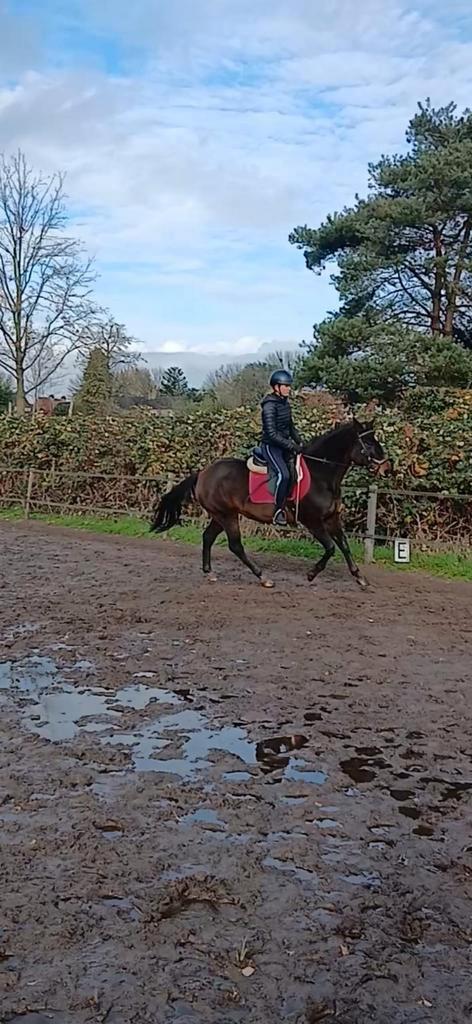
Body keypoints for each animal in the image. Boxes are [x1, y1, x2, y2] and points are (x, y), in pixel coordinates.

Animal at [150, 418, 391, 589]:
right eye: (368, 442)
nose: (386, 467)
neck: (321, 473)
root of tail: (203, 473)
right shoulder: (312, 521)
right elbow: (331, 548)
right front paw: (311, 574)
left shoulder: (331, 518)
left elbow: (344, 545)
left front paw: (360, 578)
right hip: (227, 515)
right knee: (235, 545)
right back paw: (263, 577)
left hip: (221, 516)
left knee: (208, 537)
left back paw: (210, 573)